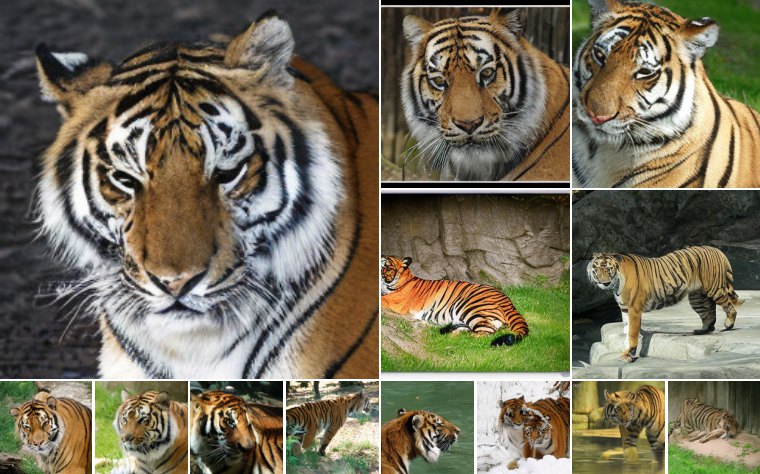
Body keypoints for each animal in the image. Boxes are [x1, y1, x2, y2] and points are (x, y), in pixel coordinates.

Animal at [381, 255, 528, 346]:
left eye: (387, 266)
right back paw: (451, 334)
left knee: (486, 332)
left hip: (471, 307)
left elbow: (381, 300)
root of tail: (507, 300)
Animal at [587, 245, 741, 362]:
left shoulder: (634, 309)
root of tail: (716, 250)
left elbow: (632, 333)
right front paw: (626, 352)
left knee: (729, 306)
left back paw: (728, 324)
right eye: (597, 269)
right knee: (709, 312)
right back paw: (703, 330)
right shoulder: (625, 309)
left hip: (715, 288)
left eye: (608, 269)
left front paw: (629, 354)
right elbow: (626, 330)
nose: (604, 282)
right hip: (698, 298)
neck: (616, 283)